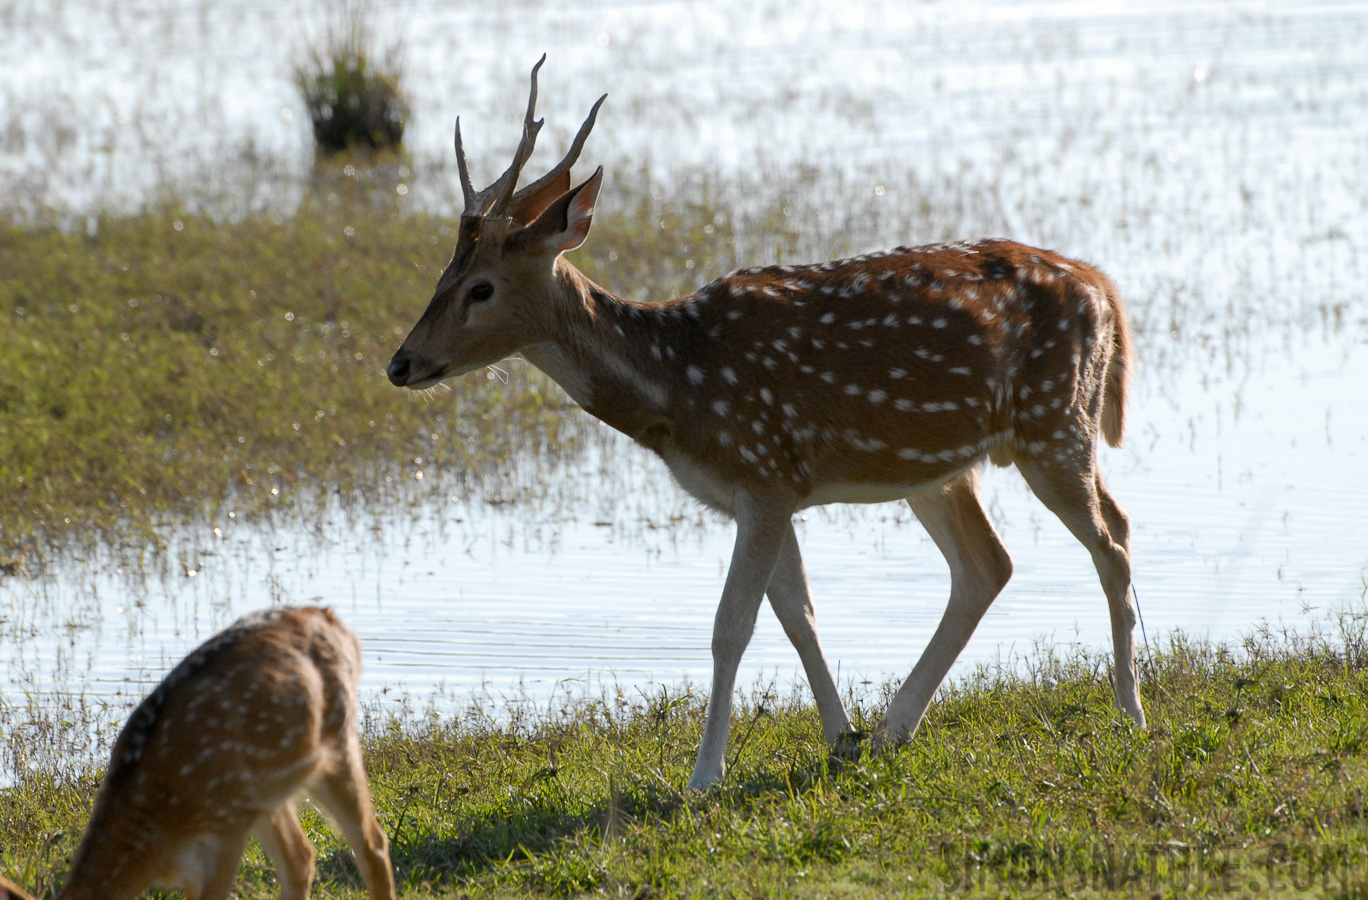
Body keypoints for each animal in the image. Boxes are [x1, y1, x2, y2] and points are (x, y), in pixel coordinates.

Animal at [4, 601, 396, 897]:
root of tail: (330, 617)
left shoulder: (226, 829)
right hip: (267, 793)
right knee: (302, 858)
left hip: (337, 743)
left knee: (372, 842)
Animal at [391, 56, 1149, 787]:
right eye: (438, 276)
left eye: (480, 288)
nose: (401, 363)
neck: (678, 389)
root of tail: (1101, 285)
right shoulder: (766, 489)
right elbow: (799, 615)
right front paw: (840, 738)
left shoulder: (761, 471)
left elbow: (732, 624)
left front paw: (704, 774)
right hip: (941, 466)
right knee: (989, 565)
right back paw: (893, 728)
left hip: (1055, 421)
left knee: (1111, 536)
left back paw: (1129, 710)